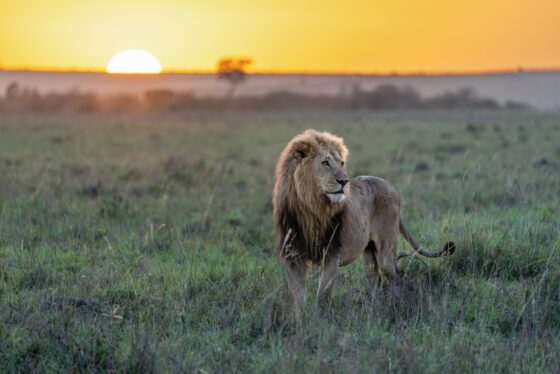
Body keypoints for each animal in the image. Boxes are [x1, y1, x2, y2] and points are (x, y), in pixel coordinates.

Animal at [272, 129, 456, 310]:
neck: (311, 208)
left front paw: (319, 316)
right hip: (368, 251)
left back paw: (396, 305)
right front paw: (302, 318)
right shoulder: (293, 257)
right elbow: (298, 298)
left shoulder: (331, 255)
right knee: (375, 279)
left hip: (386, 249)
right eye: (325, 163)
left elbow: (322, 298)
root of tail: (392, 188)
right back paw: (374, 308)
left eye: (342, 163)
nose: (344, 181)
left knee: (395, 275)